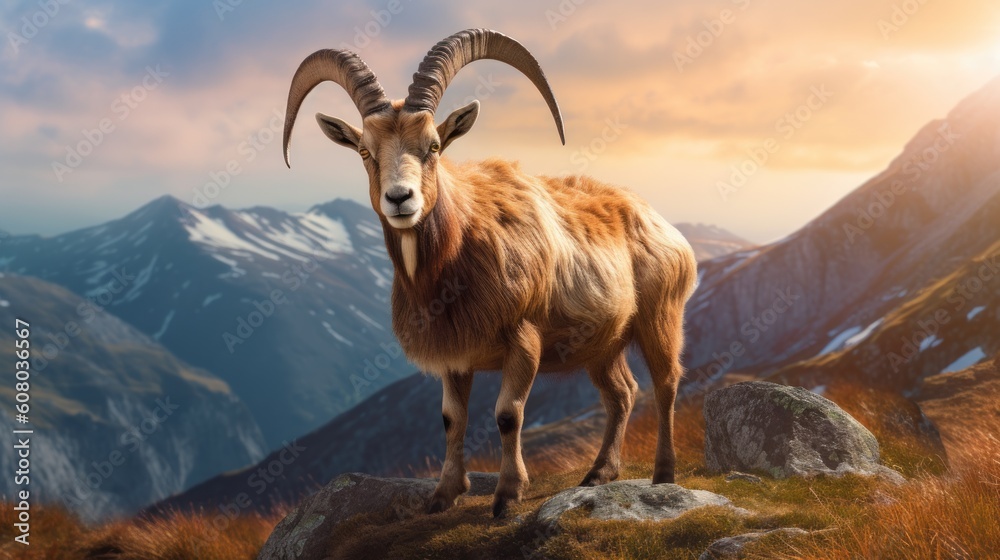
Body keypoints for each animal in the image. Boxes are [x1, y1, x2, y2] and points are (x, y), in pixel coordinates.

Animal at [282, 28, 698, 518]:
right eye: (365, 151)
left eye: (434, 146)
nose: (400, 199)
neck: (461, 248)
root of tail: (658, 220)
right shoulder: (453, 354)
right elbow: (451, 418)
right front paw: (443, 495)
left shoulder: (523, 338)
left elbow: (507, 413)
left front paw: (506, 496)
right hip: (603, 343)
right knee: (623, 393)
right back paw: (598, 473)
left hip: (660, 315)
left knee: (666, 384)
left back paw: (664, 474)